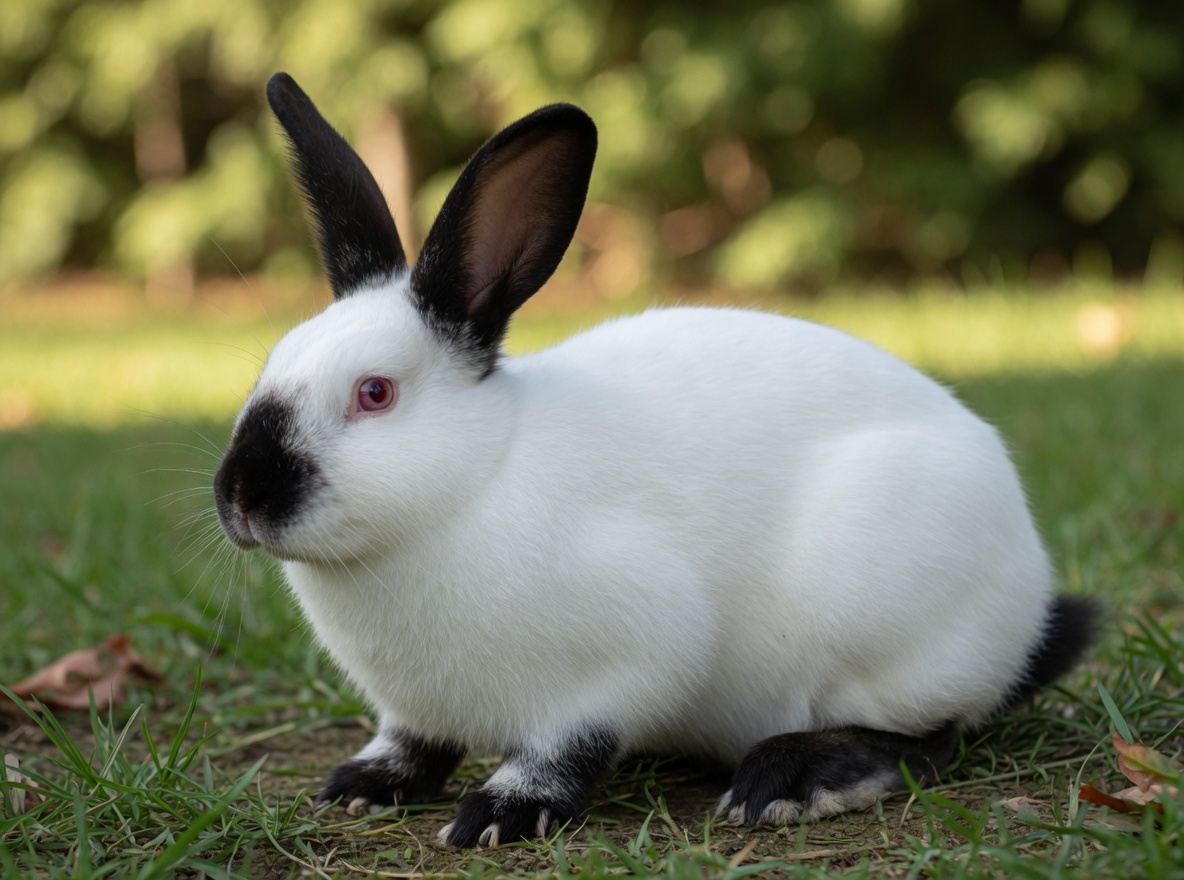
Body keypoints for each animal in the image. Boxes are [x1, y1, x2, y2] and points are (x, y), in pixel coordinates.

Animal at [214, 72, 1098, 848]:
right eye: (271, 364)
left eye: (374, 394)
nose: (241, 499)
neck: (475, 480)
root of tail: (1025, 597)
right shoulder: (413, 709)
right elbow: (412, 743)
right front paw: (362, 785)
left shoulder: (631, 651)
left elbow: (568, 747)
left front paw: (499, 813)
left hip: (885, 620)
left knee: (929, 736)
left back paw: (788, 779)